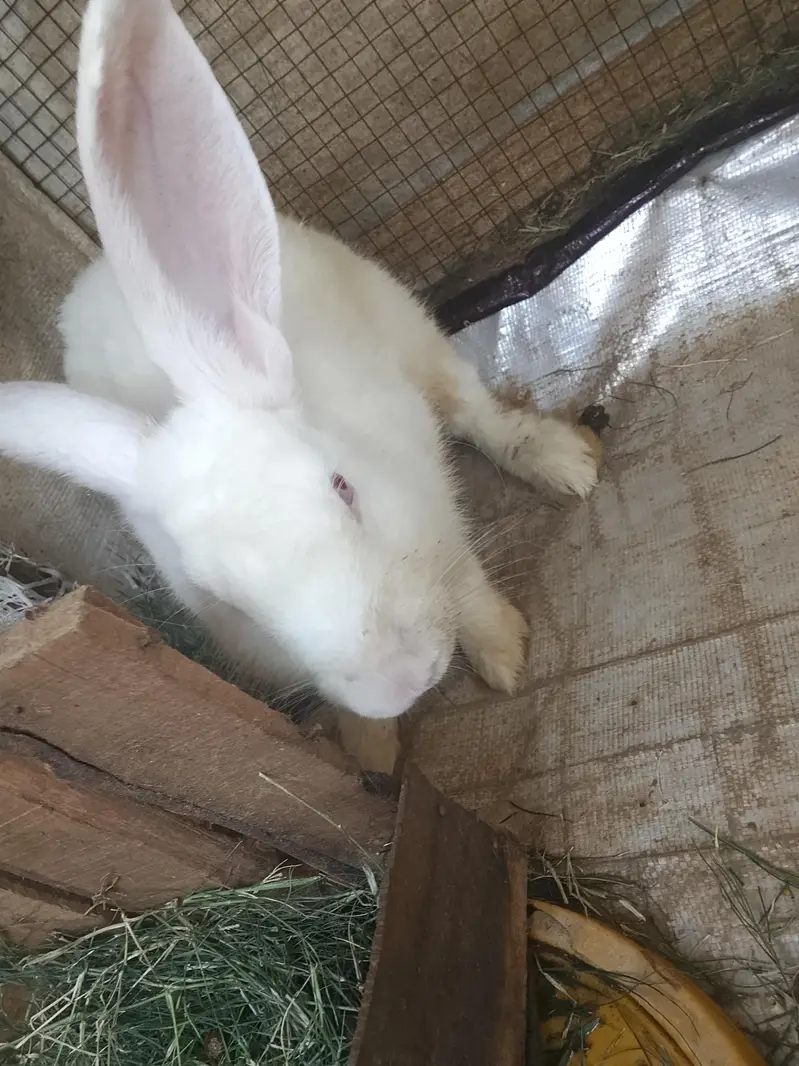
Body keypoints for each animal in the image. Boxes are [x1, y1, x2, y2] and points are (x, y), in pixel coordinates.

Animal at [0, 0, 599, 721]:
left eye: (344, 488)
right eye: (229, 603)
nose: (398, 680)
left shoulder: (432, 504)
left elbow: (467, 577)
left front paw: (504, 653)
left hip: (402, 322)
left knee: (472, 405)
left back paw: (564, 464)